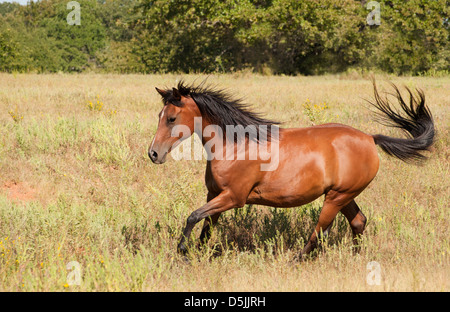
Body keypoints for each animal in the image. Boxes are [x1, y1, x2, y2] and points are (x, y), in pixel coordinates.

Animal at [149, 80, 434, 258]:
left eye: (172, 118)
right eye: (159, 116)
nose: (153, 154)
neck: (235, 145)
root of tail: (369, 138)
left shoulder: (234, 197)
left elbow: (193, 216)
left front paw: (182, 251)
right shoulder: (214, 195)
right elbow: (206, 227)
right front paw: (197, 253)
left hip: (336, 197)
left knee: (320, 230)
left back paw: (296, 259)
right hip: (345, 196)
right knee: (358, 222)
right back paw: (354, 257)